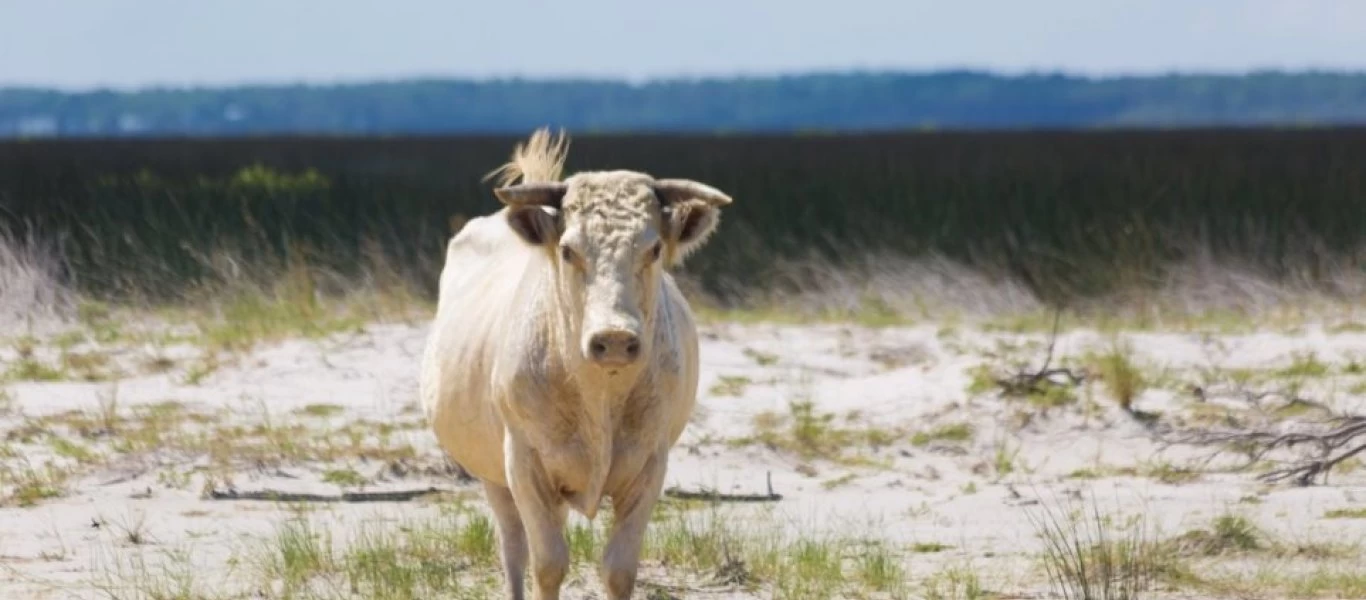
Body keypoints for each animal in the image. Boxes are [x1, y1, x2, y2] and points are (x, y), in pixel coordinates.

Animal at [417, 129, 732, 598]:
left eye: (654, 248)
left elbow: (619, 568)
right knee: (513, 547)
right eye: (568, 251)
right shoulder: (523, 462)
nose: (614, 338)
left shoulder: (650, 464)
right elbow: (547, 563)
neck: (599, 396)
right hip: (494, 474)